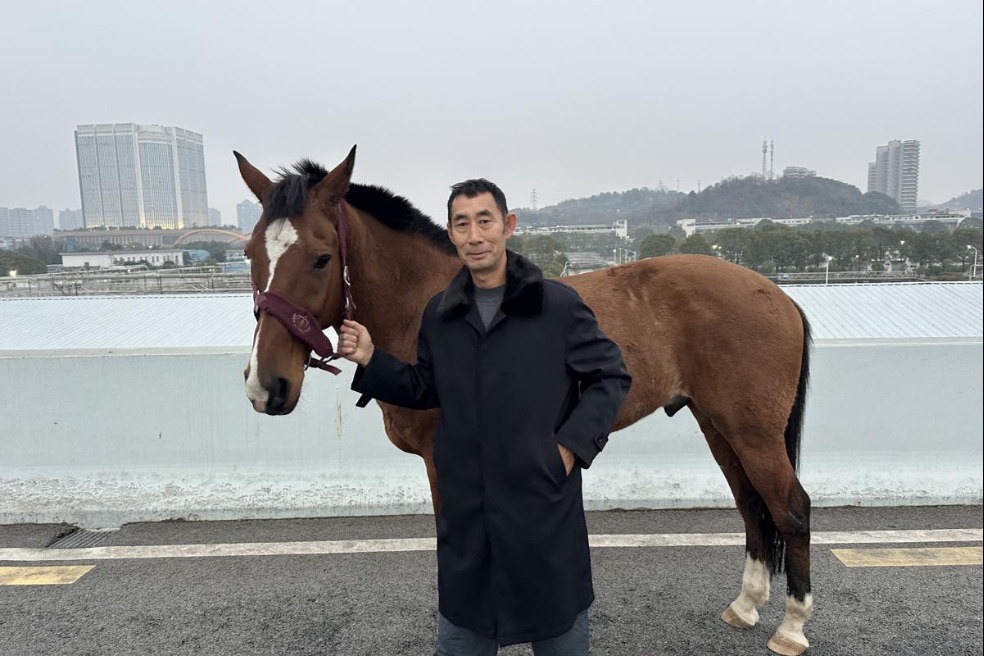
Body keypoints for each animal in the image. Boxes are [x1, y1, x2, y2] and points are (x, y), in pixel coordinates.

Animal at [236, 147, 814, 656]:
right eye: (250, 254)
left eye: (322, 258)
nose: (266, 386)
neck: (427, 304)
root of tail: (777, 294)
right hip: (719, 425)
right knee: (751, 505)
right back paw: (745, 605)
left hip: (753, 433)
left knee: (790, 509)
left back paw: (791, 627)